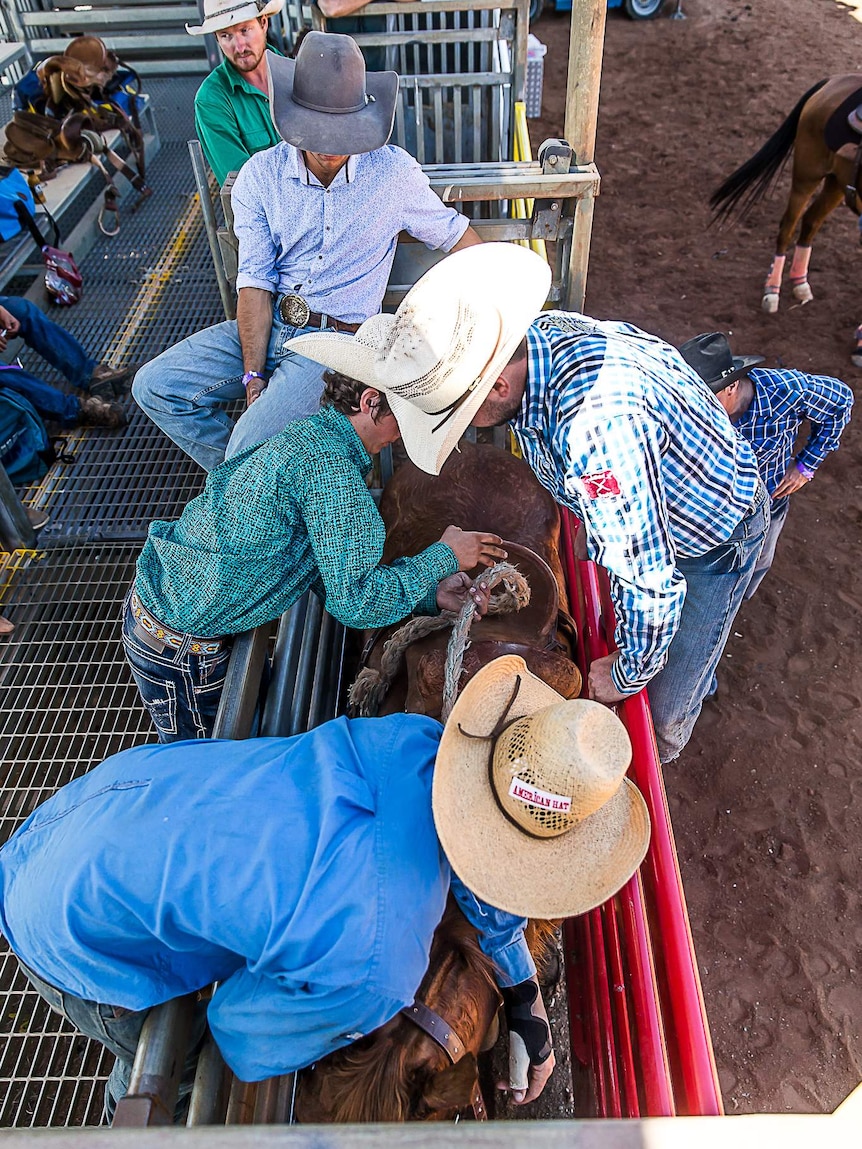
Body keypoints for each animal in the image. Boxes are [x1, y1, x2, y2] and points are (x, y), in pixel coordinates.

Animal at [712, 75, 862, 314]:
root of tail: (835, 80)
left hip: (837, 184)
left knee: (811, 221)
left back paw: (800, 283)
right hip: (806, 175)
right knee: (788, 226)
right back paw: (772, 292)